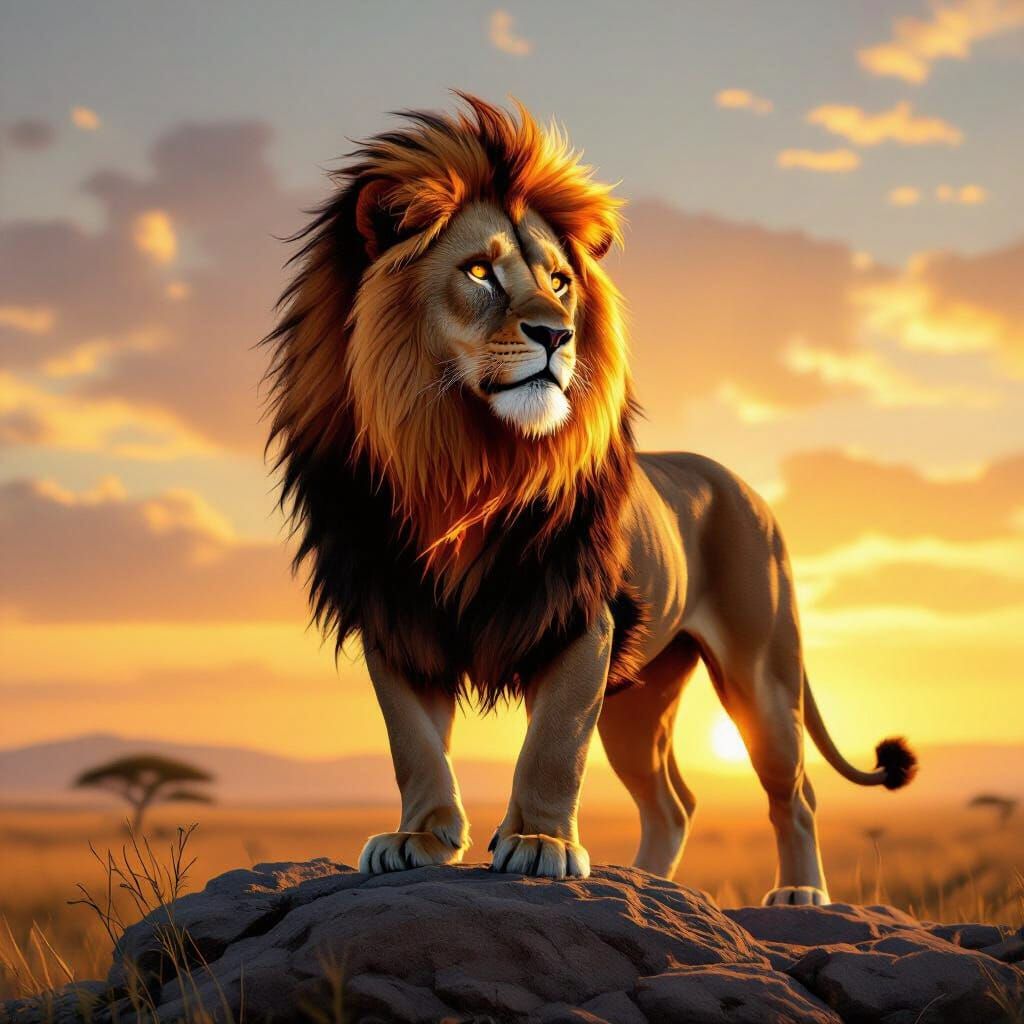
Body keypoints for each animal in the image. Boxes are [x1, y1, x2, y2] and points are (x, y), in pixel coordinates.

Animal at [264, 94, 916, 905]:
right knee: (674, 801)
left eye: (559, 281)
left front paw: (540, 844)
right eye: (478, 271)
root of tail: (747, 490)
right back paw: (645, 884)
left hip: (761, 670)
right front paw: (419, 838)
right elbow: (413, 743)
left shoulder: (581, 617)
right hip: (641, 694)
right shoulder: (395, 615)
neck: (460, 463)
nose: (558, 334)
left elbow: (553, 746)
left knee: (792, 789)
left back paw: (797, 894)